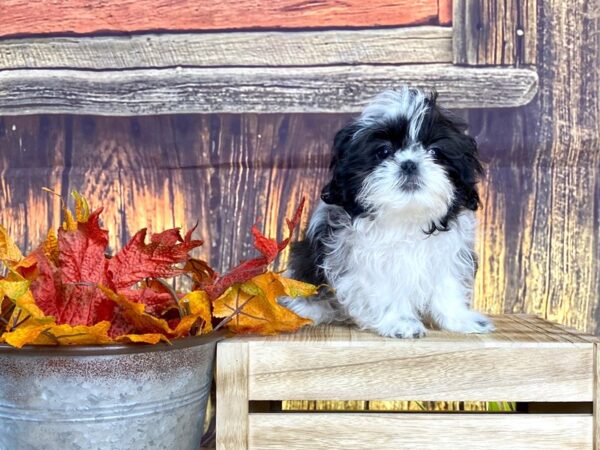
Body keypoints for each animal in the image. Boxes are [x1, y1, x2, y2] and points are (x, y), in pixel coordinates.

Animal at [284, 87, 494, 338]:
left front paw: (459, 319)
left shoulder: (447, 253)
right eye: (384, 151)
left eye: (435, 151)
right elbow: (384, 289)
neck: (406, 216)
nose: (410, 164)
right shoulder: (365, 259)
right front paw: (400, 322)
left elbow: (448, 285)